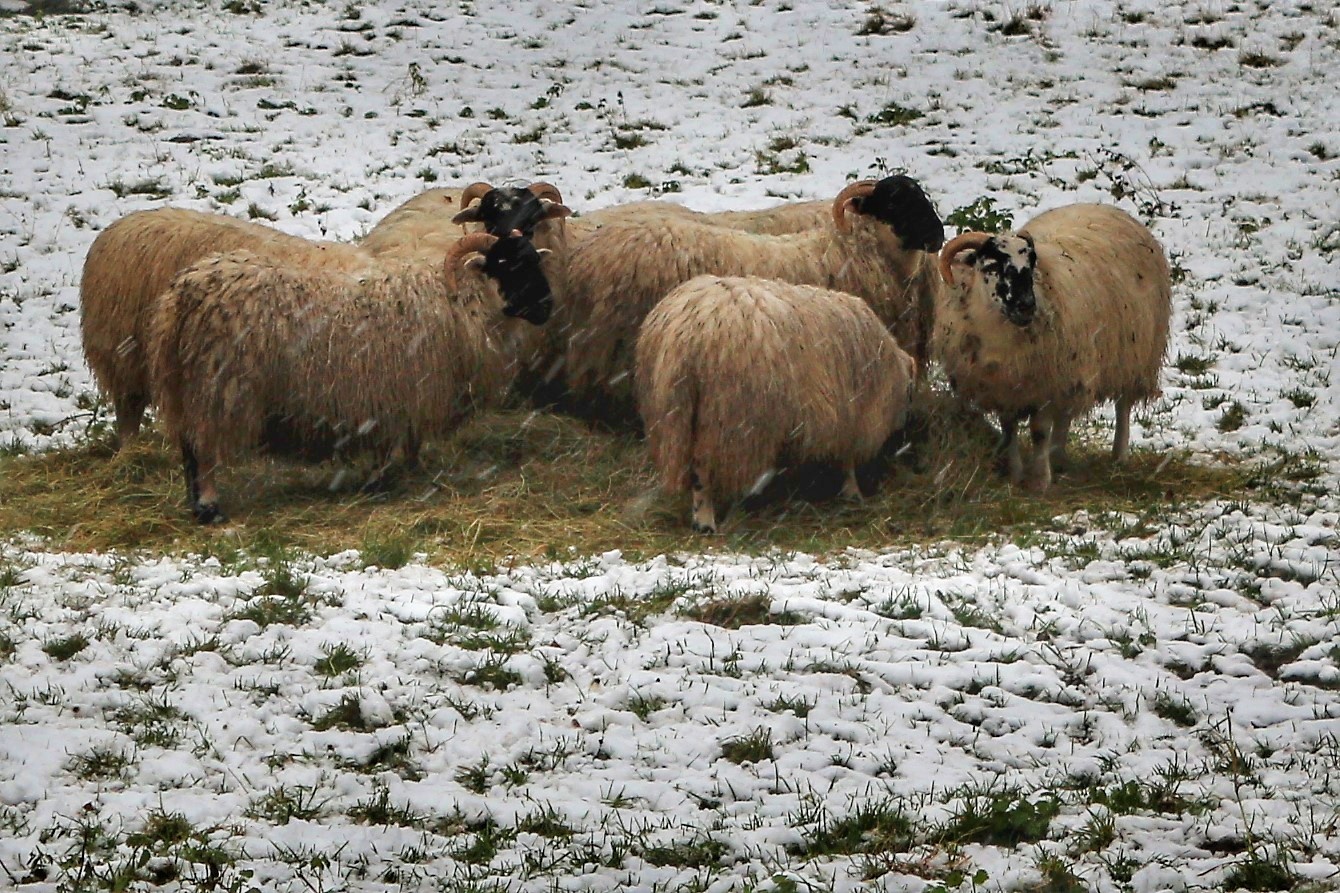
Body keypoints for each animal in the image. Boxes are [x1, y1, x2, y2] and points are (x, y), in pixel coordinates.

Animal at [142, 230, 549, 522]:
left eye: (534, 261)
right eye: (507, 264)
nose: (547, 307)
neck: (457, 301)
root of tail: (185, 293)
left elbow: (409, 442)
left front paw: (410, 472)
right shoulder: (394, 395)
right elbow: (387, 446)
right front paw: (379, 484)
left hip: (183, 383)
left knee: (189, 445)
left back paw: (194, 503)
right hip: (220, 383)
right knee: (205, 447)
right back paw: (210, 508)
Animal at [554, 178, 943, 423]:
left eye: (921, 196)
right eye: (893, 201)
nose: (939, 235)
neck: (855, 250)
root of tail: (585, 258)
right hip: (612, 343)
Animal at [632, 274, 916, 530]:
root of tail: (687, 337)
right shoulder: (852, 416)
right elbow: (848, 462)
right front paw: (853, 493)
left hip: (673, 415)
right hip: (727, 413)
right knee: (702, 468)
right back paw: (706, 521)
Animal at [932, 201, 1173, 490]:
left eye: (1031, 263)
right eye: (991, 265)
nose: (1026, 305)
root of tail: (1102, 206)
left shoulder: (1043, 387)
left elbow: (1038, 433)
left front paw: (1039, 481)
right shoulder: (1005, 388)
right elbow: (1009, 430)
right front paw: (1015, 473)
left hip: (1133, 353)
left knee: (1123, 406)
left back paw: (1119, 455)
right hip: (1073, 365)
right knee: (1066, 414)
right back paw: (1059, 456)